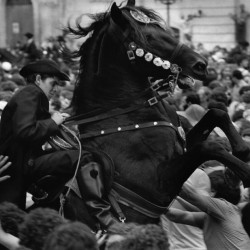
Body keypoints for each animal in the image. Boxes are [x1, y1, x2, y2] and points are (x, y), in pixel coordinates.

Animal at [61, 0, 250, 227]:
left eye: (165, 31)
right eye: (148, 37)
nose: (201, 65)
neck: (122, 114)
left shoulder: (182, 147)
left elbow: (216, 113)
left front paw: (242, 150)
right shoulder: (158, 184)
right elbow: (210, 147)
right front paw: (245, 172)